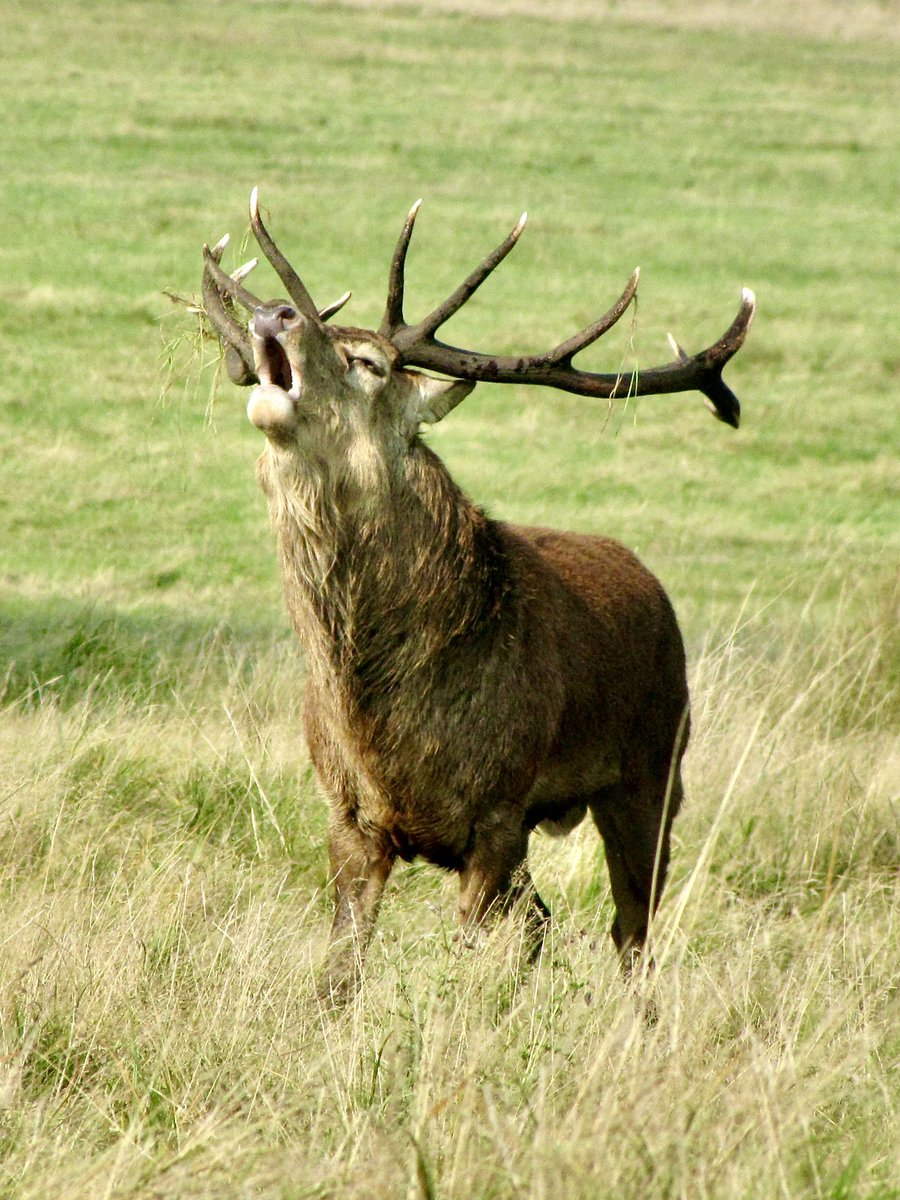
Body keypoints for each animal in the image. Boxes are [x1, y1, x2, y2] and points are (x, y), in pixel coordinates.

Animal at [198, 189, 755, 1002]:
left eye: (368, 363)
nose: (276, 312)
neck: (384, 723)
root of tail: (652, 585)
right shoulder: (350, 815)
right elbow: (339, 974)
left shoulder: (498, 808)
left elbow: (463, 963)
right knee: (546, 921)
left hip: (654, 767)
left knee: (632, 931)